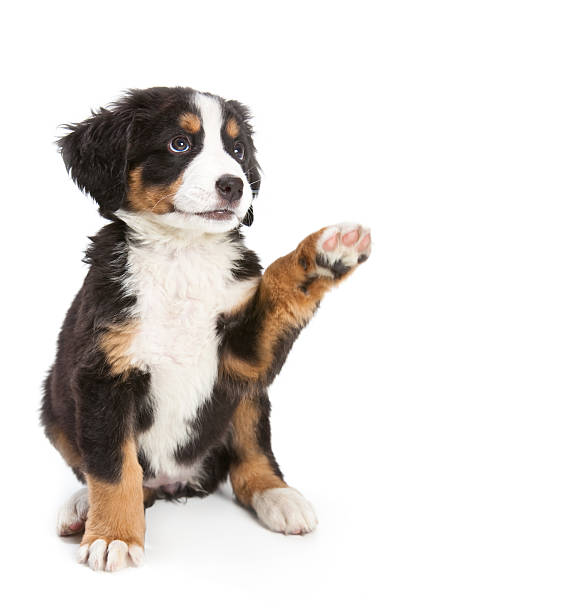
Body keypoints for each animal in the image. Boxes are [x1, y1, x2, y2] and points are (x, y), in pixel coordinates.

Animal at [41, 85, 372, 568]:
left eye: (237, 150)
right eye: (180, 144)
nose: (234, 184)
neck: (182, 256)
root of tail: (175, 481)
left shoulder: (242, 358)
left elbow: (277, 289)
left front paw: (325, 255)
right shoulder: (103, 375)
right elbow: (113, 466)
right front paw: (114, 536)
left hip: (248, 400)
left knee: (251, 457)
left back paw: (279, 496)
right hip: (54, 402)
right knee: (106, 470)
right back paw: (82, 507)